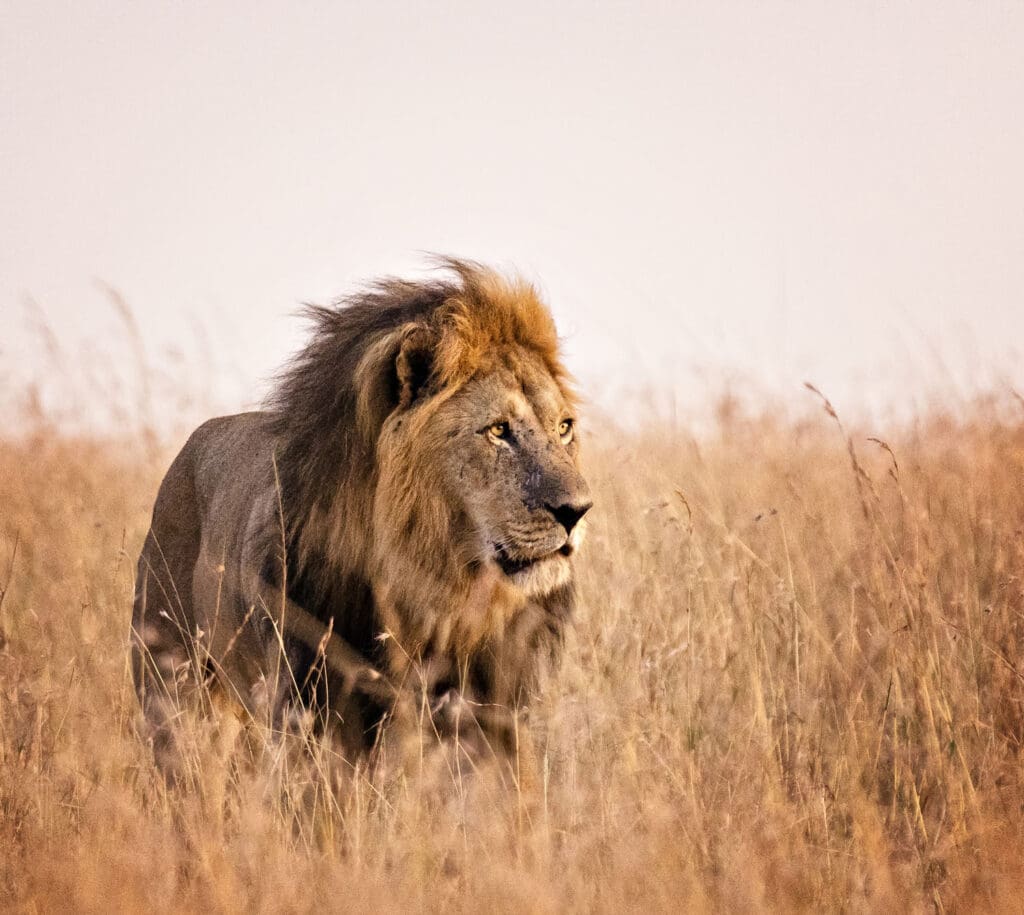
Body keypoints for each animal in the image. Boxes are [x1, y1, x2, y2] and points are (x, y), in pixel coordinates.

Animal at [131, 258, 592, 784]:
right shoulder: (313, 708)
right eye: (498, 430)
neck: (438, 586)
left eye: (564, 428)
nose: (578, 510)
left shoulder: (492, 712)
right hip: (172, 686)